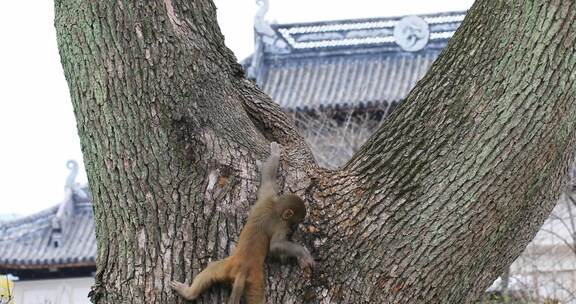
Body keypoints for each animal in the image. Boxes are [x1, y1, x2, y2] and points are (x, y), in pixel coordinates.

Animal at [171, 142, 316, 304]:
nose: (293, 229)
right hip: (254, 279)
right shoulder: (280, 225)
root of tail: (242, 270)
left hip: (227, 268)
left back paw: (189, 293)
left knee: (211, 270)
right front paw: (303, 254)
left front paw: (275, 154)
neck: (275, 209)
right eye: (294, 223)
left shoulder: (267, 197)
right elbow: (275, 246)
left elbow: (267, 180)